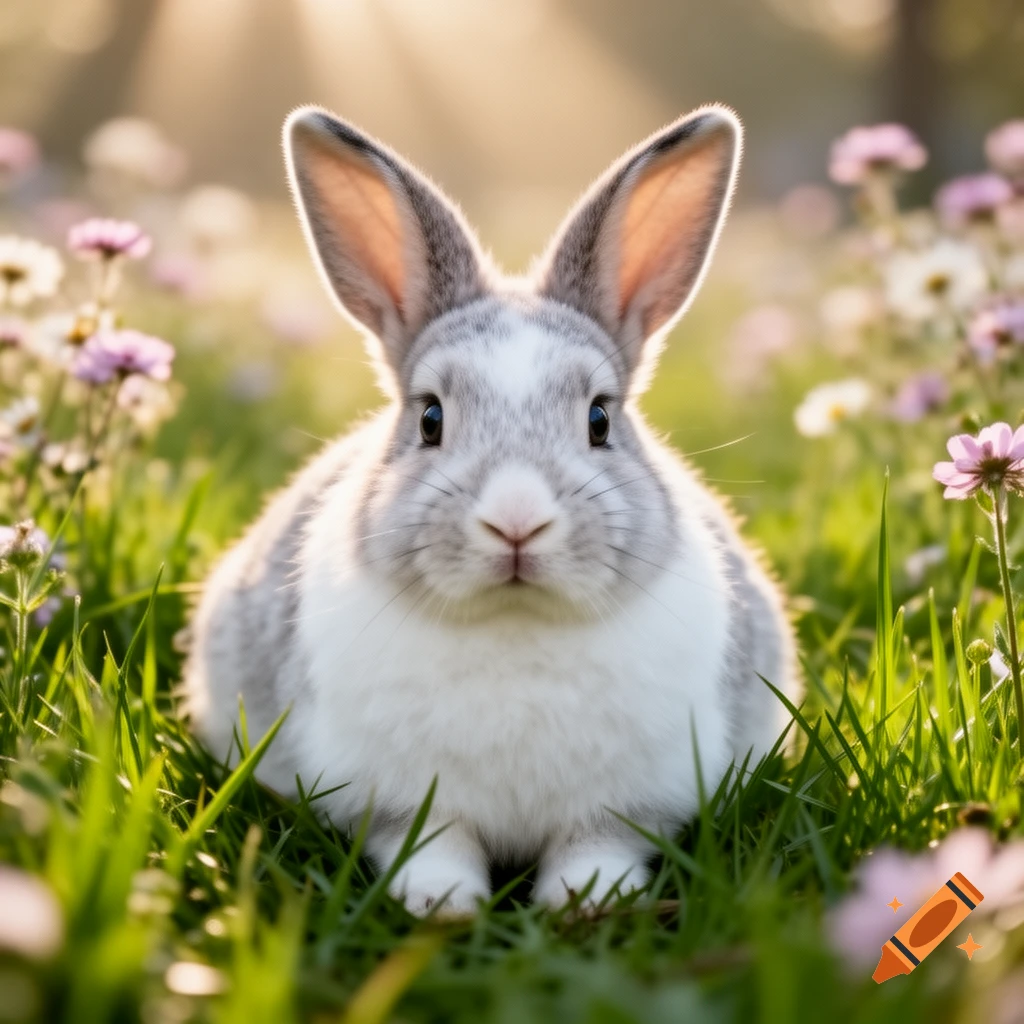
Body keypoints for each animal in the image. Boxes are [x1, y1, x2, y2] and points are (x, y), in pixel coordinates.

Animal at [183, 103, 800, 916]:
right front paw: (441, 906)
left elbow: (596, 843)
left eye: (600, 419)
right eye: (430, 419)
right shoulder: (405, 806)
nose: (516, 522)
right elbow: (432, 845)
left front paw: (588, 903)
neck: (516, 622)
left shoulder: (621, 807)